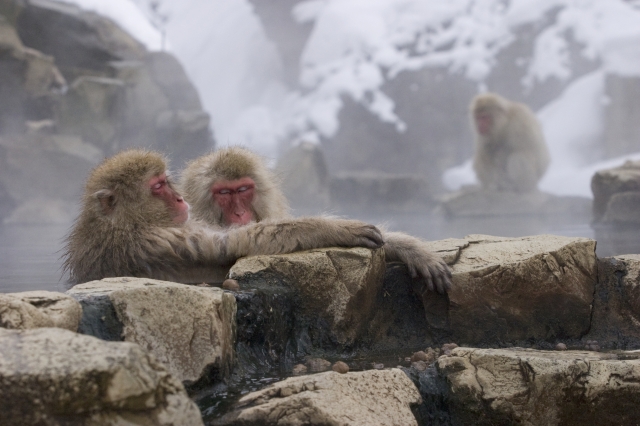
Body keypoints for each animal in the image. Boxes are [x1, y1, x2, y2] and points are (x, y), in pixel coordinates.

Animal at [63, 148, 384, 284]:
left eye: (166, 181)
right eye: (157, 187)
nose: (179, 198)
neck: (124, 224)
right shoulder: (156, 238)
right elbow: (240, 240)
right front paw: (338, 228)